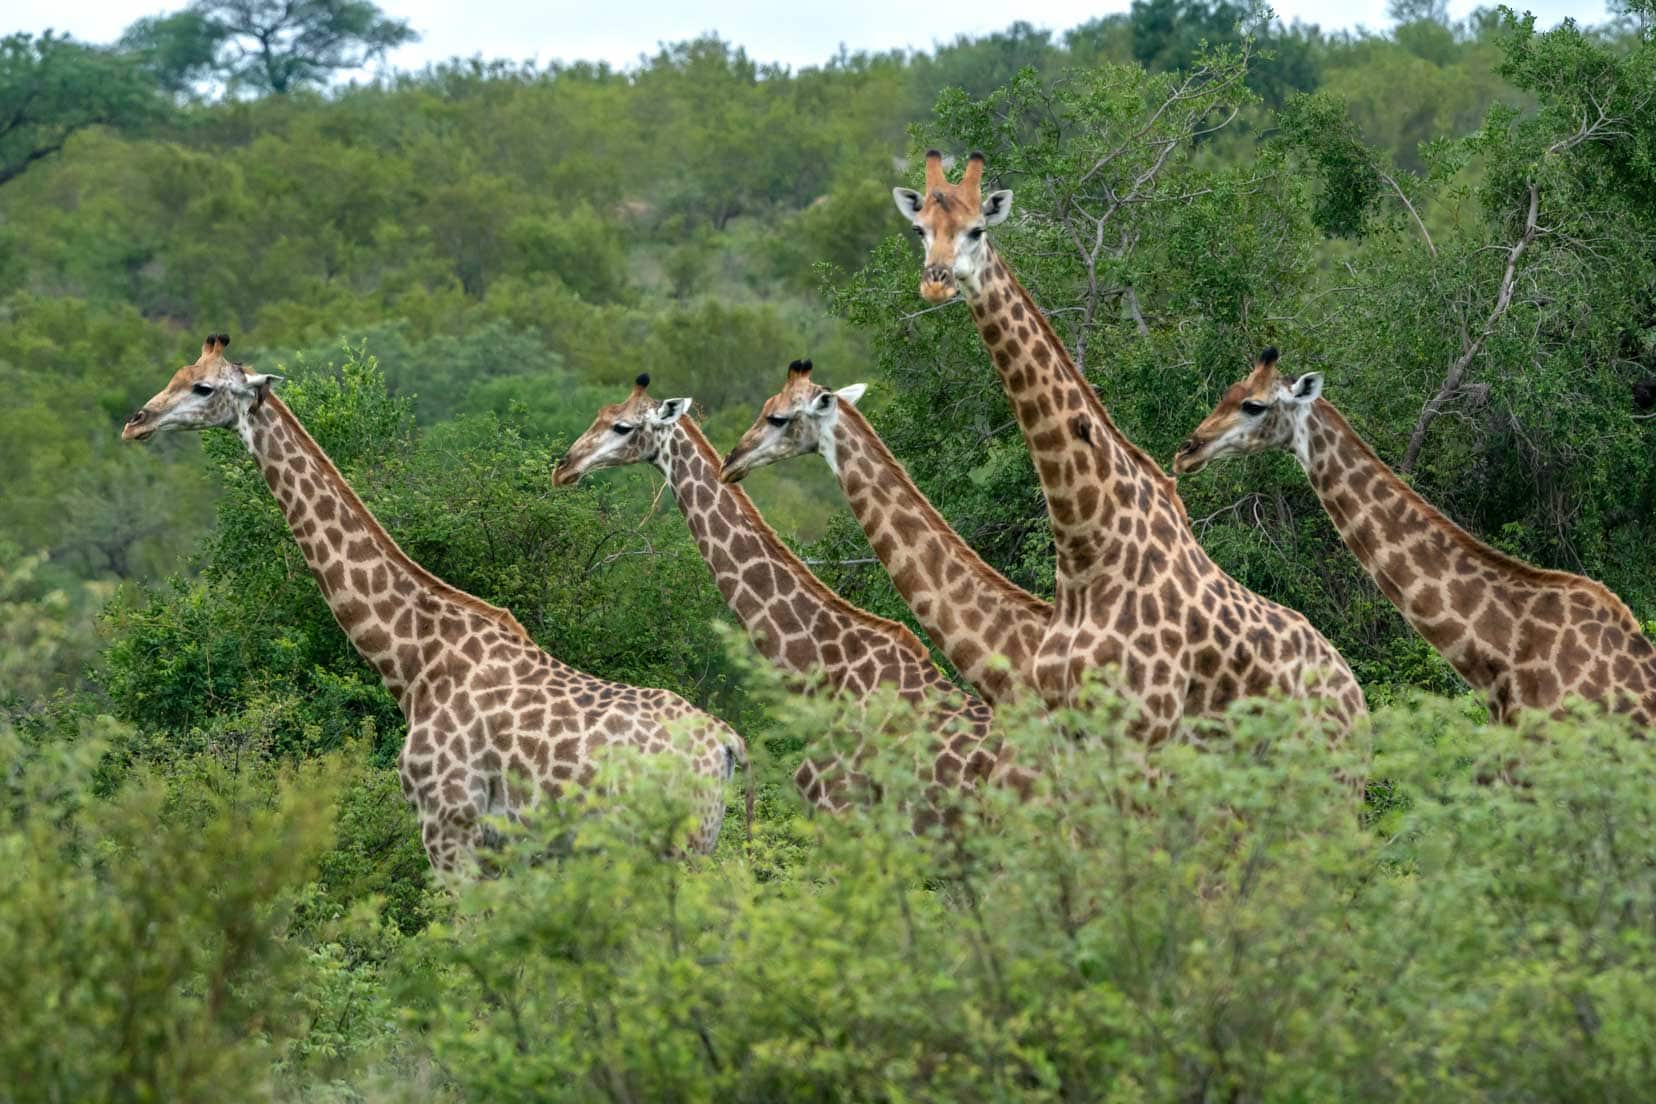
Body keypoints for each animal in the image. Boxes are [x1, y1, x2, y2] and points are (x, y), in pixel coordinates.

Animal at [125, 334, 748, 873]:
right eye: (178, 374)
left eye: (203, 388)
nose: (137, 421)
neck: (412, 660)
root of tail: (727, 744)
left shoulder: (447, 826)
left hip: (674, 847)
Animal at [900, 151, 1364, 738]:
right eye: (920, 230)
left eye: (977, 229)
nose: (936, 284)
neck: (1086, 549)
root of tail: (1355, 691)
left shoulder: (1143, 725)